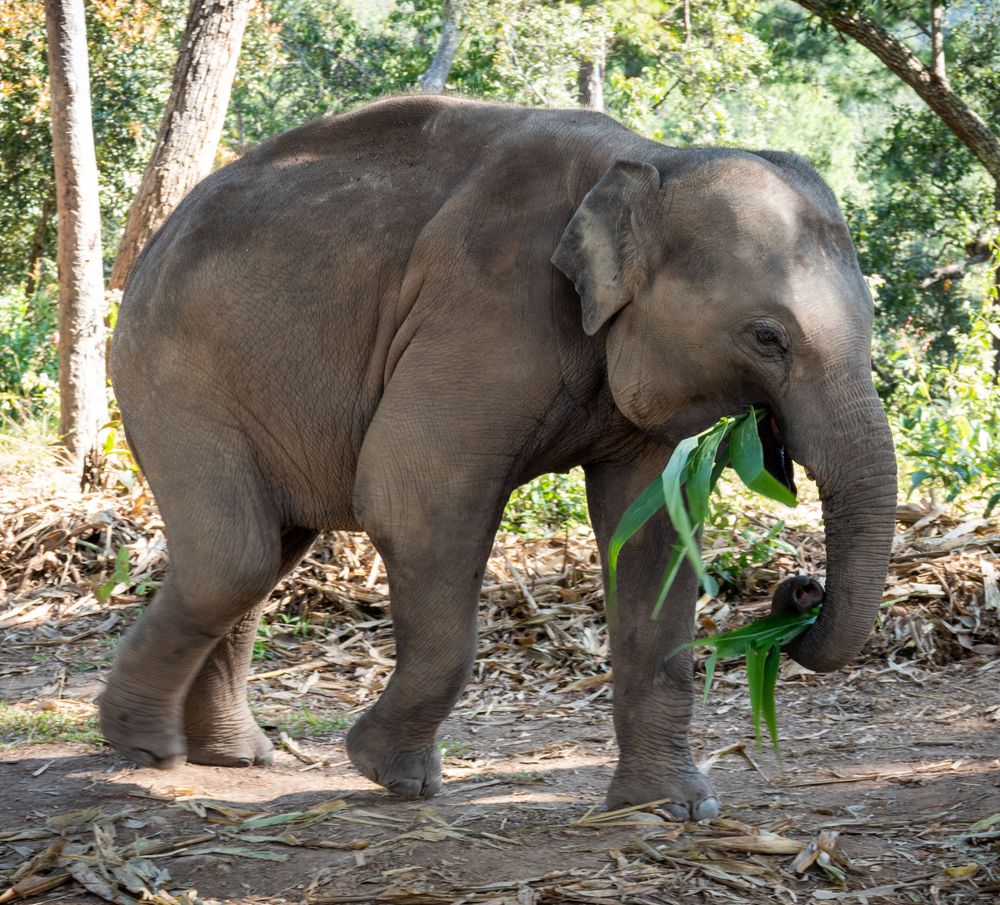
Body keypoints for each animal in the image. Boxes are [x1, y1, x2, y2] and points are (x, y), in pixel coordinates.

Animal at [100, 95, 897, 821]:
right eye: (768, 337)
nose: (800, 591)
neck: (654, 159)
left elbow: (652, 542)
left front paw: (674, 809)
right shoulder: (489, 304)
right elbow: (411, 495)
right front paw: (391, 775)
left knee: (265, 553)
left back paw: (231, 756)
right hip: (172, 376)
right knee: (237, 556)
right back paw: (144, 748)